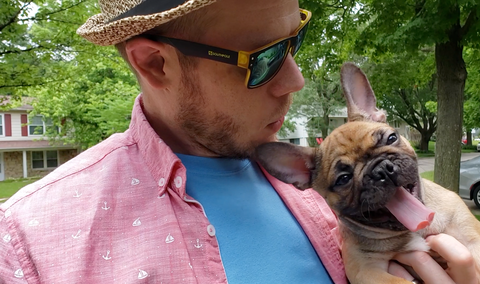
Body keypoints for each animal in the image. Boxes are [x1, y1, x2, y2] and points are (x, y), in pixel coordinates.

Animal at [256, 62, 480, 284]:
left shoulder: (471, 238)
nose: (382, 170)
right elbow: (399, 282)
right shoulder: (365, 269)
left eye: (391, 138)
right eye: (343, 179)